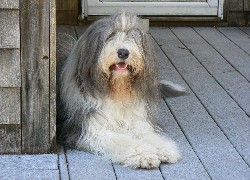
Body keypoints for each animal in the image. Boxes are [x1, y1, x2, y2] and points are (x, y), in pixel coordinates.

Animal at [57, 12, 186, 169]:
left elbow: (147, 133)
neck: (117, 91)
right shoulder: (90, 128)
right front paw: (144, 154)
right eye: (109, 36)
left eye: (133, 36)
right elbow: (120, 140)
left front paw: (163, 148)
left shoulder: (136, 119)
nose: (123, 52)